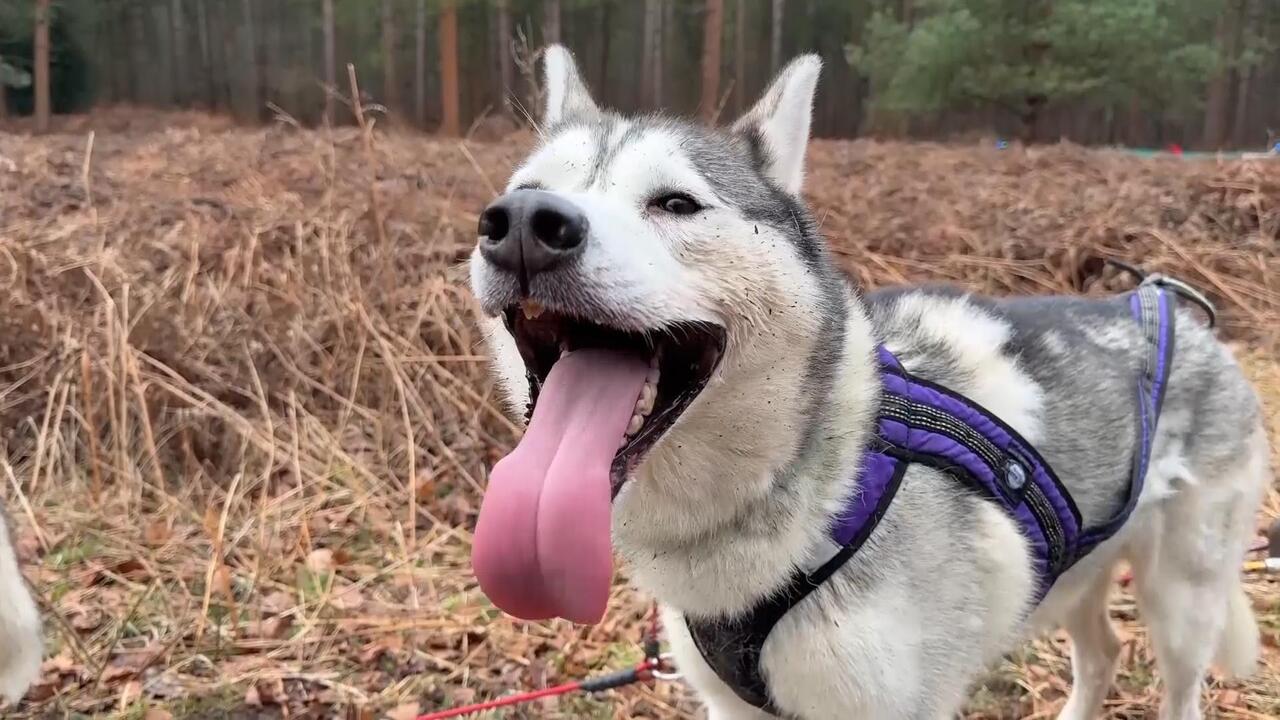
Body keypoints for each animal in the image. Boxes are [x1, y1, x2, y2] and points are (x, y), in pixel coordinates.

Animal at [465, 46, 1264, 717]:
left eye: (675, 203)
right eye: (525, 190)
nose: (524, 223)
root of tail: (1176, 311)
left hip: (1181, 604)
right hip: (1074, 583)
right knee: (1103, 655)